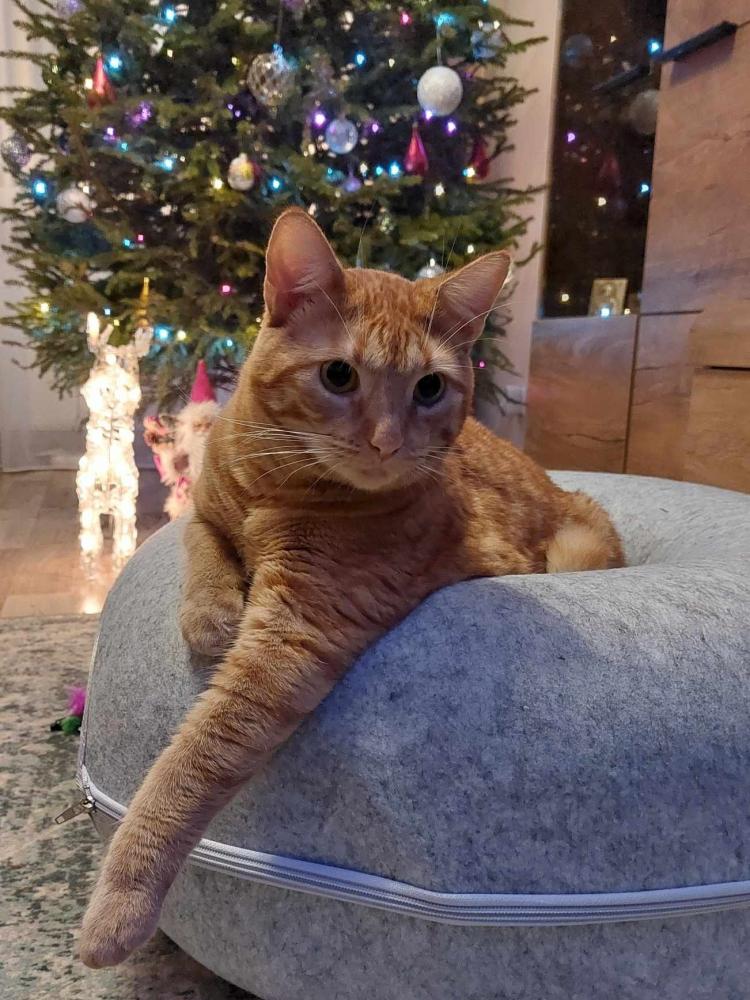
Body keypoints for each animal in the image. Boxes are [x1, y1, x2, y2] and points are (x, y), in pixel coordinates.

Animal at [79, 207, 623, 968]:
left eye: (429, 388)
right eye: (339, 375)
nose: (388, 442)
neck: (274, 486)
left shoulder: (290, 640)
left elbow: (187, 767)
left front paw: (119, 906)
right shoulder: (207, 512)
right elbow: (205, 546)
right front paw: (210, 613)